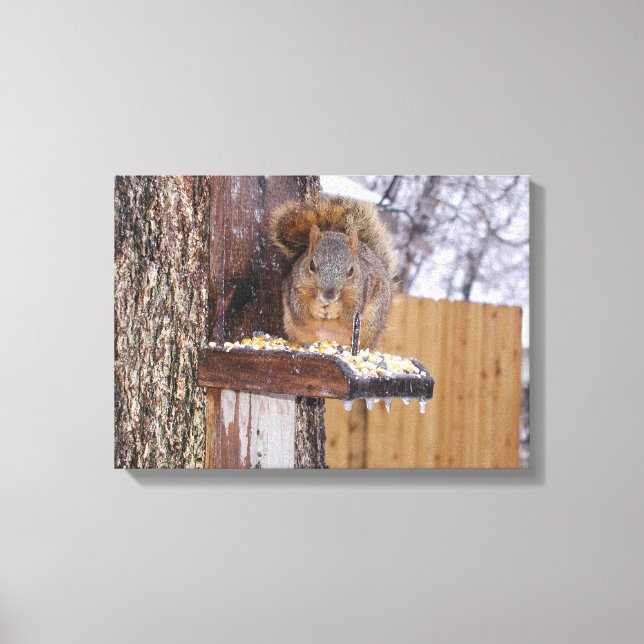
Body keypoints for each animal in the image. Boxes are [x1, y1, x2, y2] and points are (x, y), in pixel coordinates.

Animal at [269, 196, 397, 349]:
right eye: (312, 265)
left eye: (351, 271)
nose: (328, 295)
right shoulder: (295, 287)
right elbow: (300, 310)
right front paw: (316, 307)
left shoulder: (360, 293)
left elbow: (349, 313)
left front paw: (336, 308)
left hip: (372, 321)